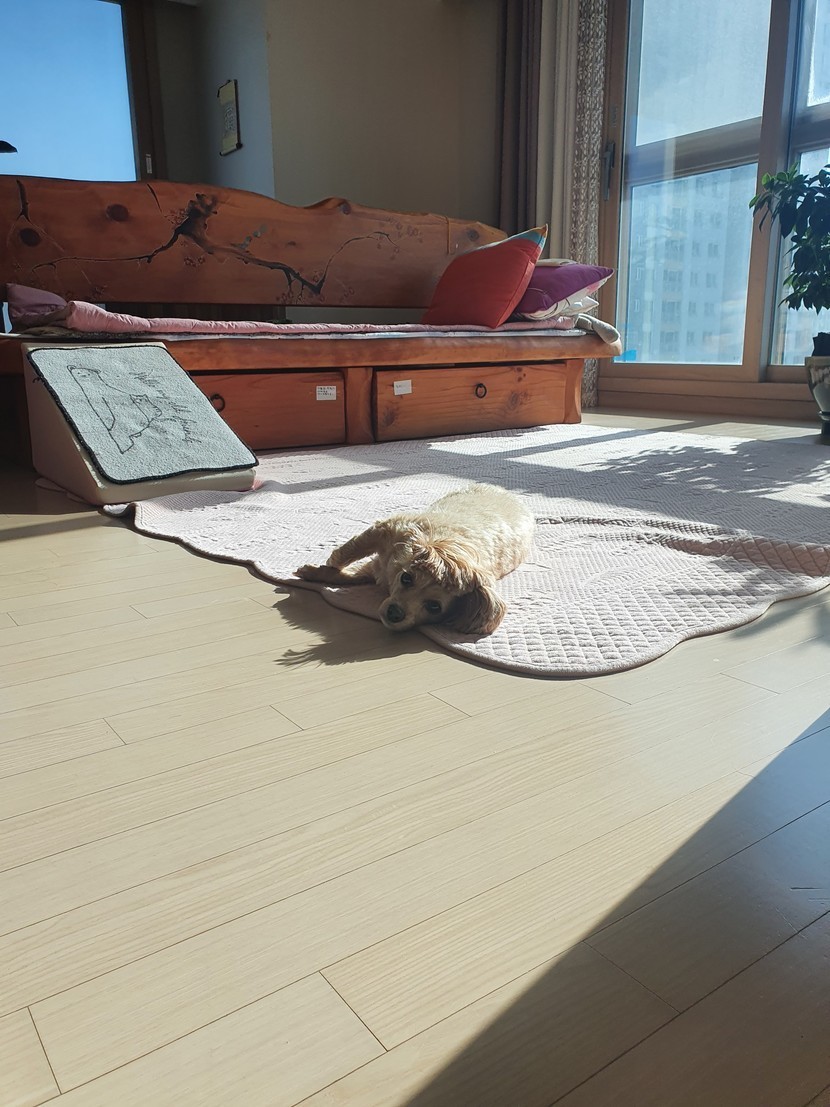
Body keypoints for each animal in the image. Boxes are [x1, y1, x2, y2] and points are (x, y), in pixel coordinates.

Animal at [295, 483, 534, 634]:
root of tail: (514, 495)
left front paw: (317, 571)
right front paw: (322, 567)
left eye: (435, 607)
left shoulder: (378, 566)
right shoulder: (386, 531)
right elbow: (350, 551)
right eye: (406, 578)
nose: (394, 613)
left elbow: (353, 573)